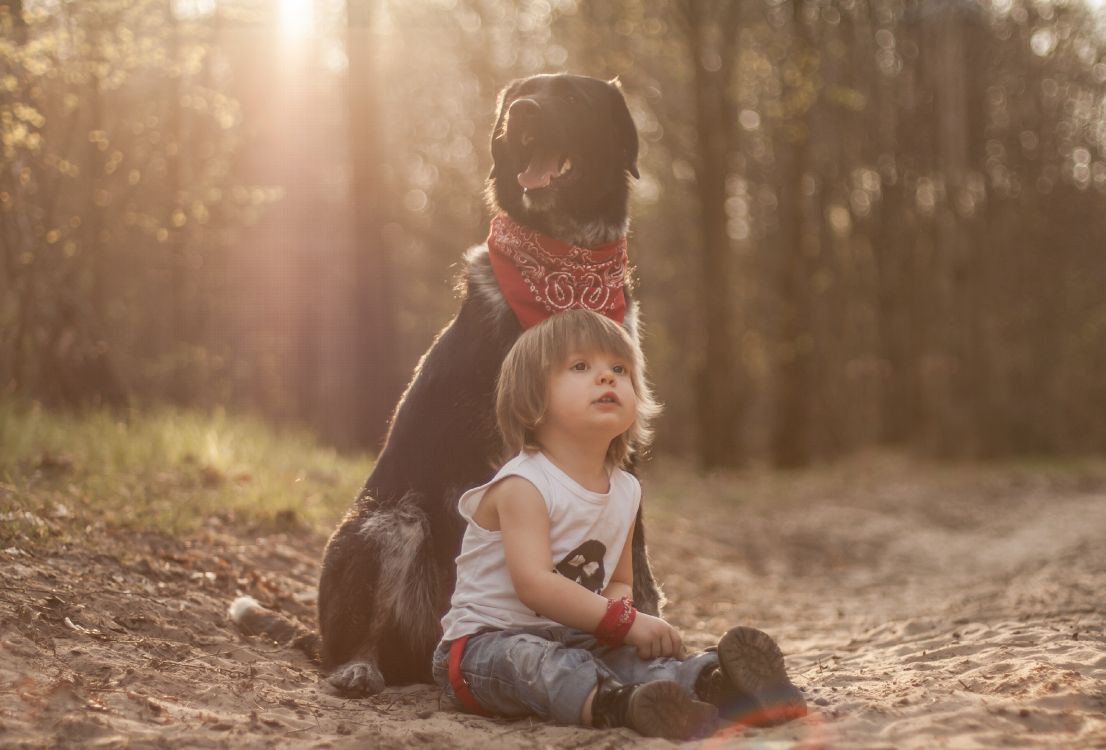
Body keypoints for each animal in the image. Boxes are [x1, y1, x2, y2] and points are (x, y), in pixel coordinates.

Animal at [232, 73, 659, 694]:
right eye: (521, 95)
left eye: (573, 98)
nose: (522, 112)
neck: (567, 268)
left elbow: (638, 551)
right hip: (391, 523)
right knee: (355, 641)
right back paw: (361, 665)